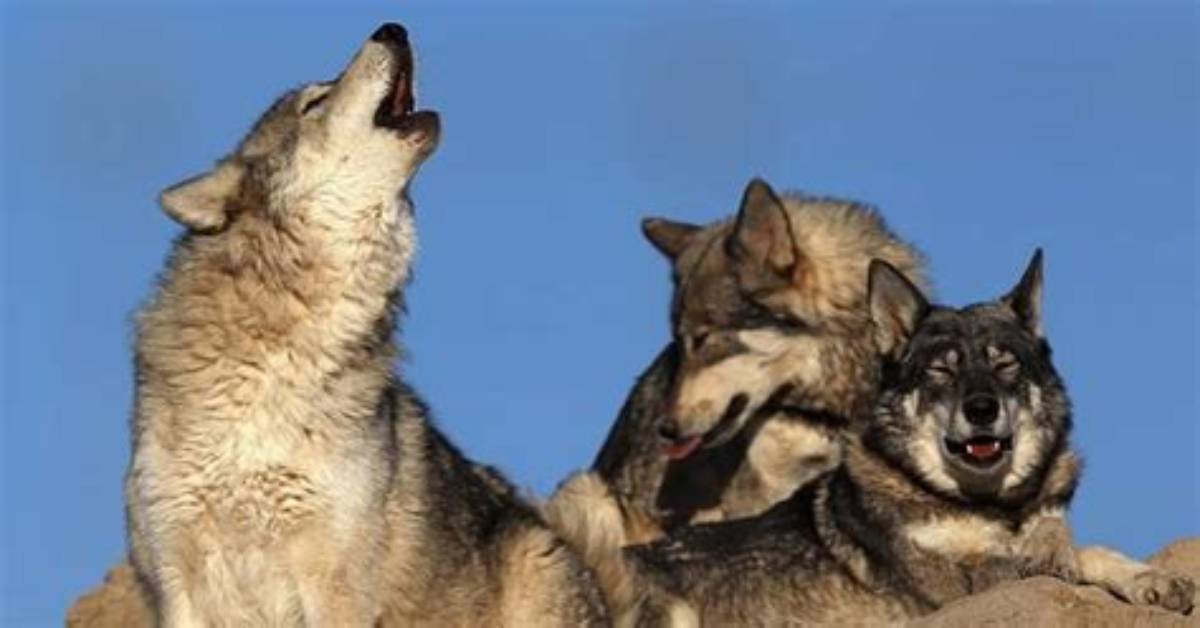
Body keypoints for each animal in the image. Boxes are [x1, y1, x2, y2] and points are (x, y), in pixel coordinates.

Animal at [601, 252, 1196, 625]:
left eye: (1004, 364)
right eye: (941, 370)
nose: (982, 409)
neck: (989, 507)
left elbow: (1082, 547)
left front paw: (1150, 579)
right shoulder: (957, 588)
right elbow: (1068, 555)